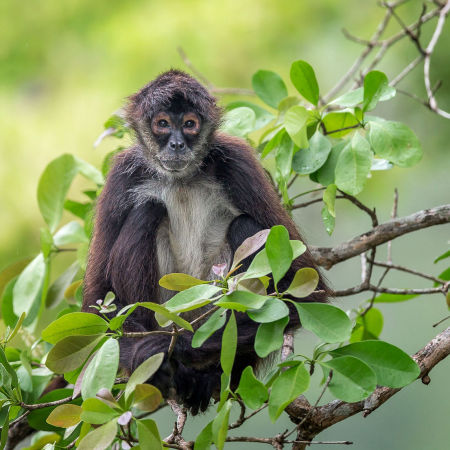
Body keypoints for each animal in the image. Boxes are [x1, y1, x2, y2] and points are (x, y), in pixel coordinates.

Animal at [81, 70, 326, 414]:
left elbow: (304, 295)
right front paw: (147, 355)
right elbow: (96, 304)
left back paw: (206, 375)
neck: (181, 179)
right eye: (162, 123)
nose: (177, 143)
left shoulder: (236, 161)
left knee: (244, 224)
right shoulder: (122, 176)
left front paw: (173, 347)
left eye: (190, 123)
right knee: (147, 209)